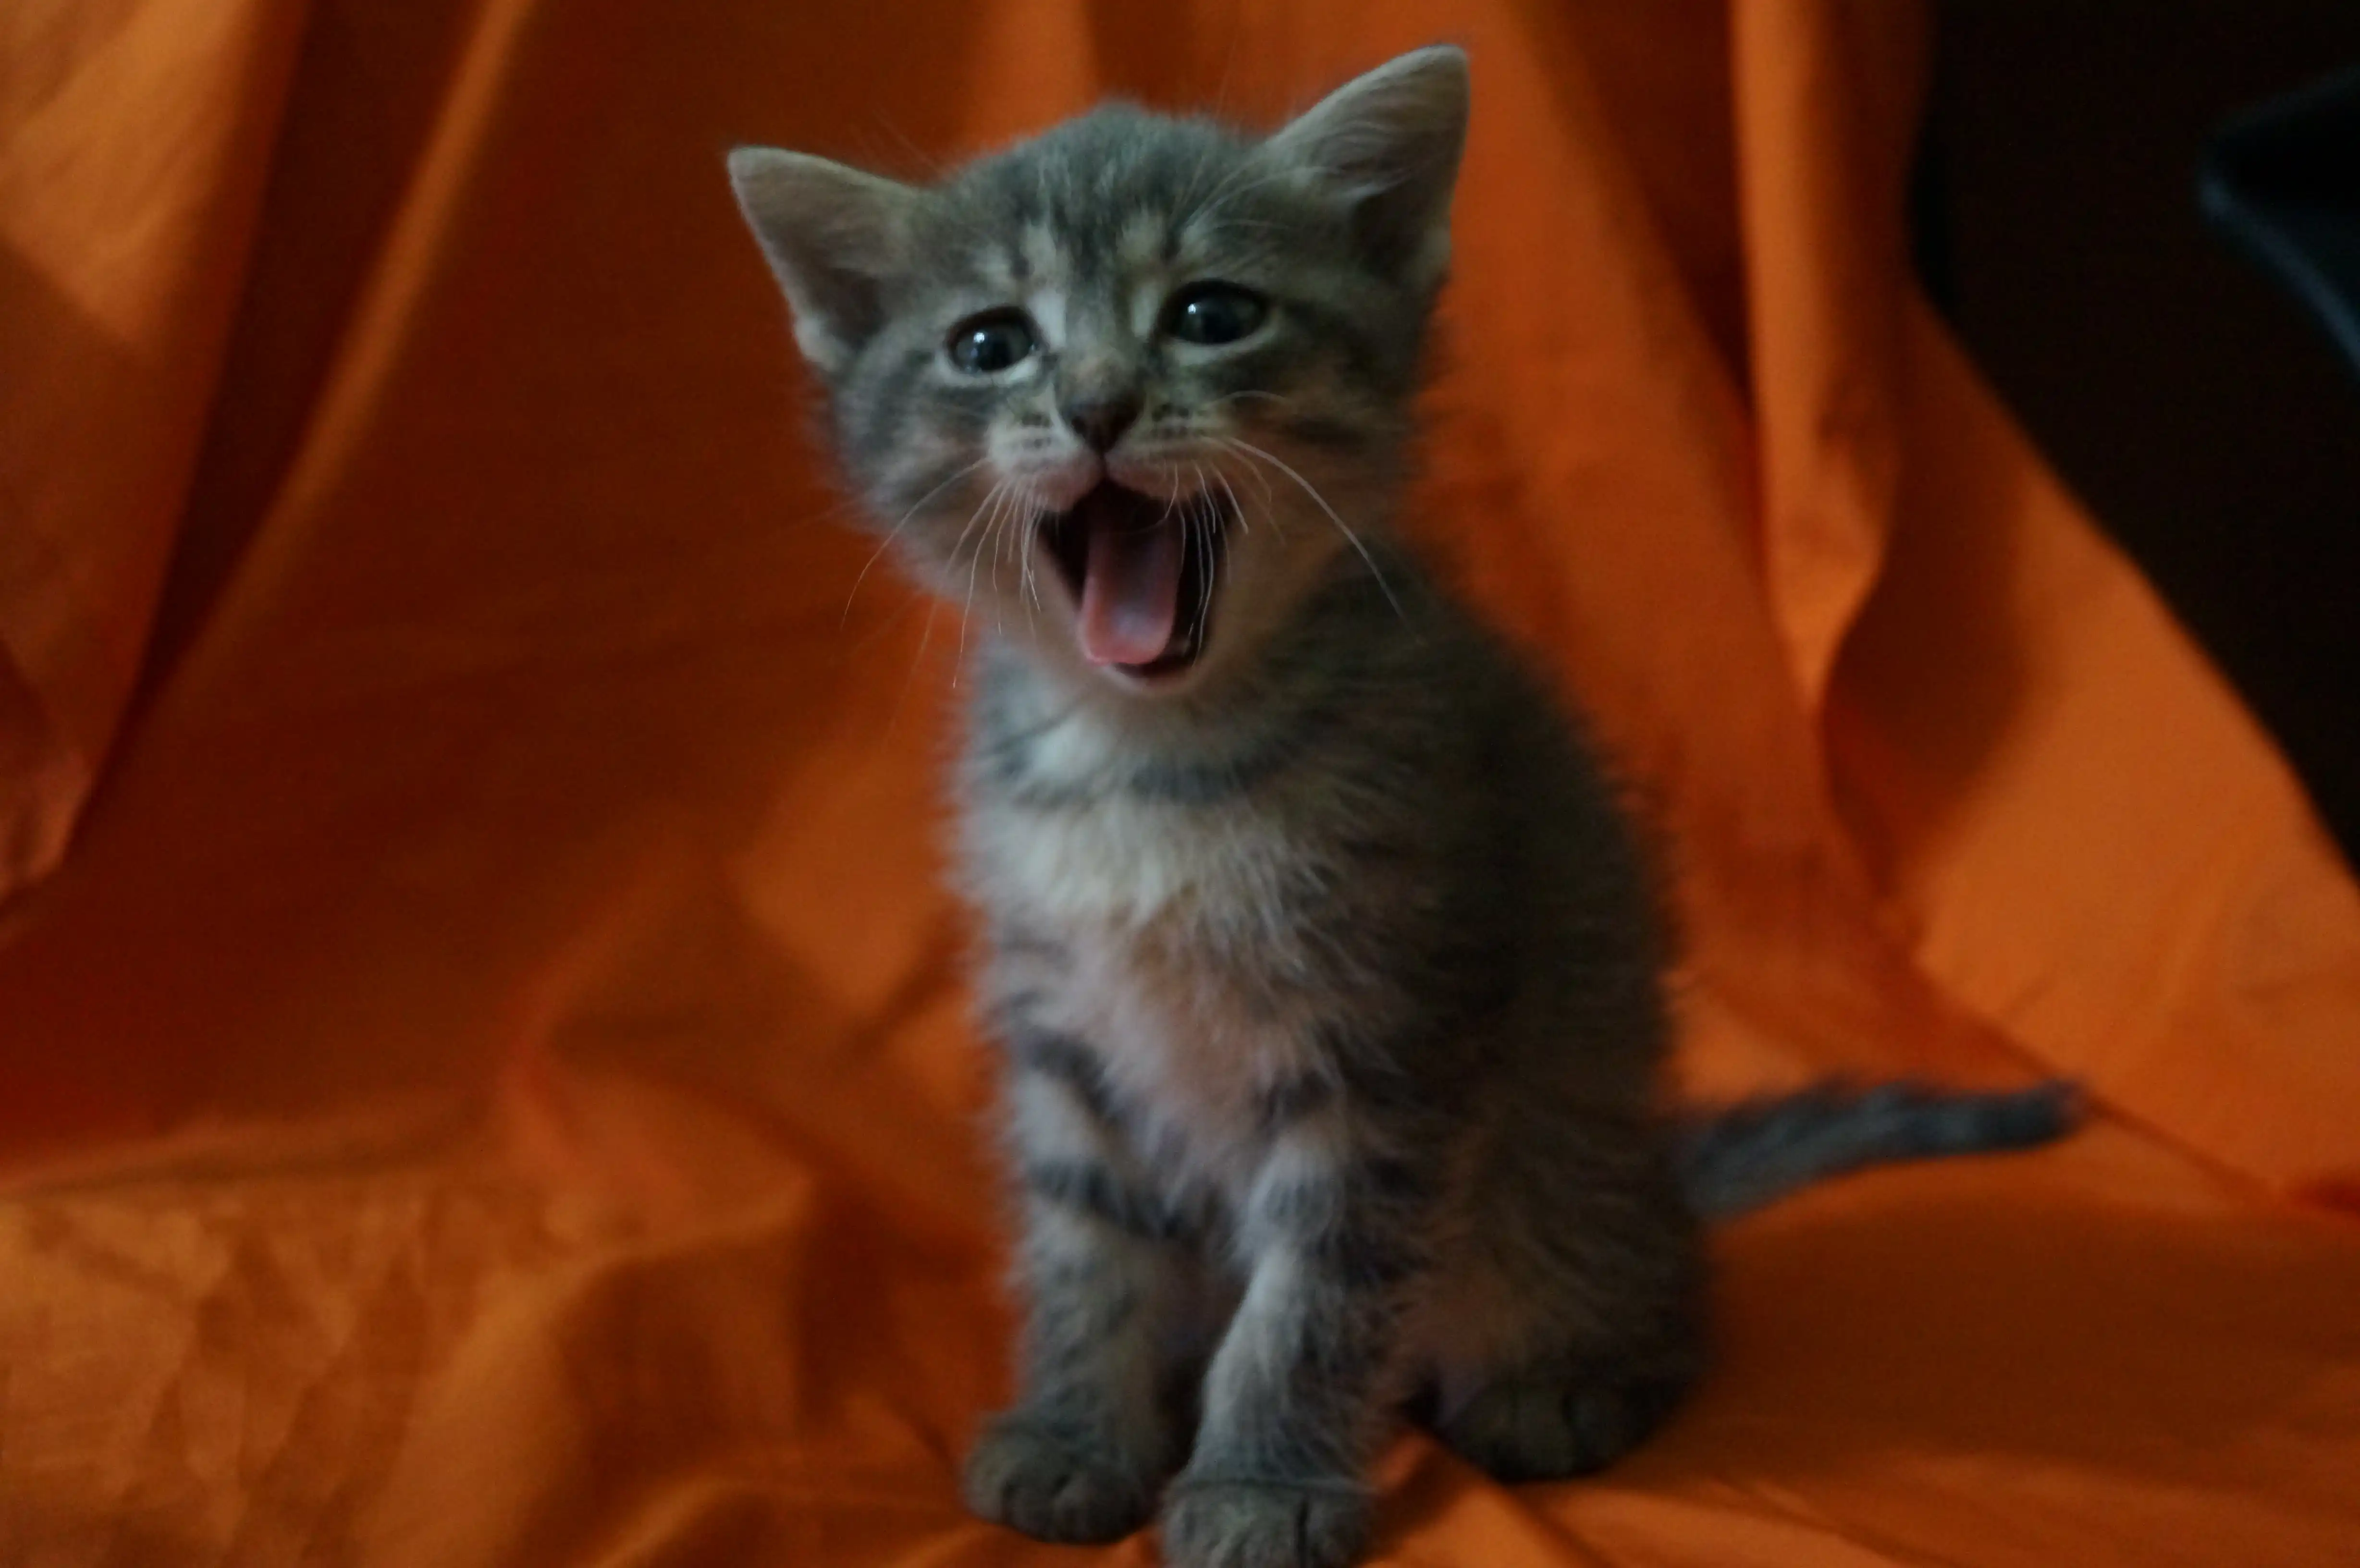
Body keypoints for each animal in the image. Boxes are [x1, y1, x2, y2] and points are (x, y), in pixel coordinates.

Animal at [727, 45, 2074, 1568]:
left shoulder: (1389, 1032)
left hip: (1563, 1168)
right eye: (988, 344)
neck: (1152, 761)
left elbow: (1311, 1297)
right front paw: (1078, 1431)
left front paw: (1261, 1482)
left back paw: (1567, 1375)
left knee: (1647, 1291)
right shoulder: (1063, 1030)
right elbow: (1086, 1251)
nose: (1096, 403)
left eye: (1211, 315)